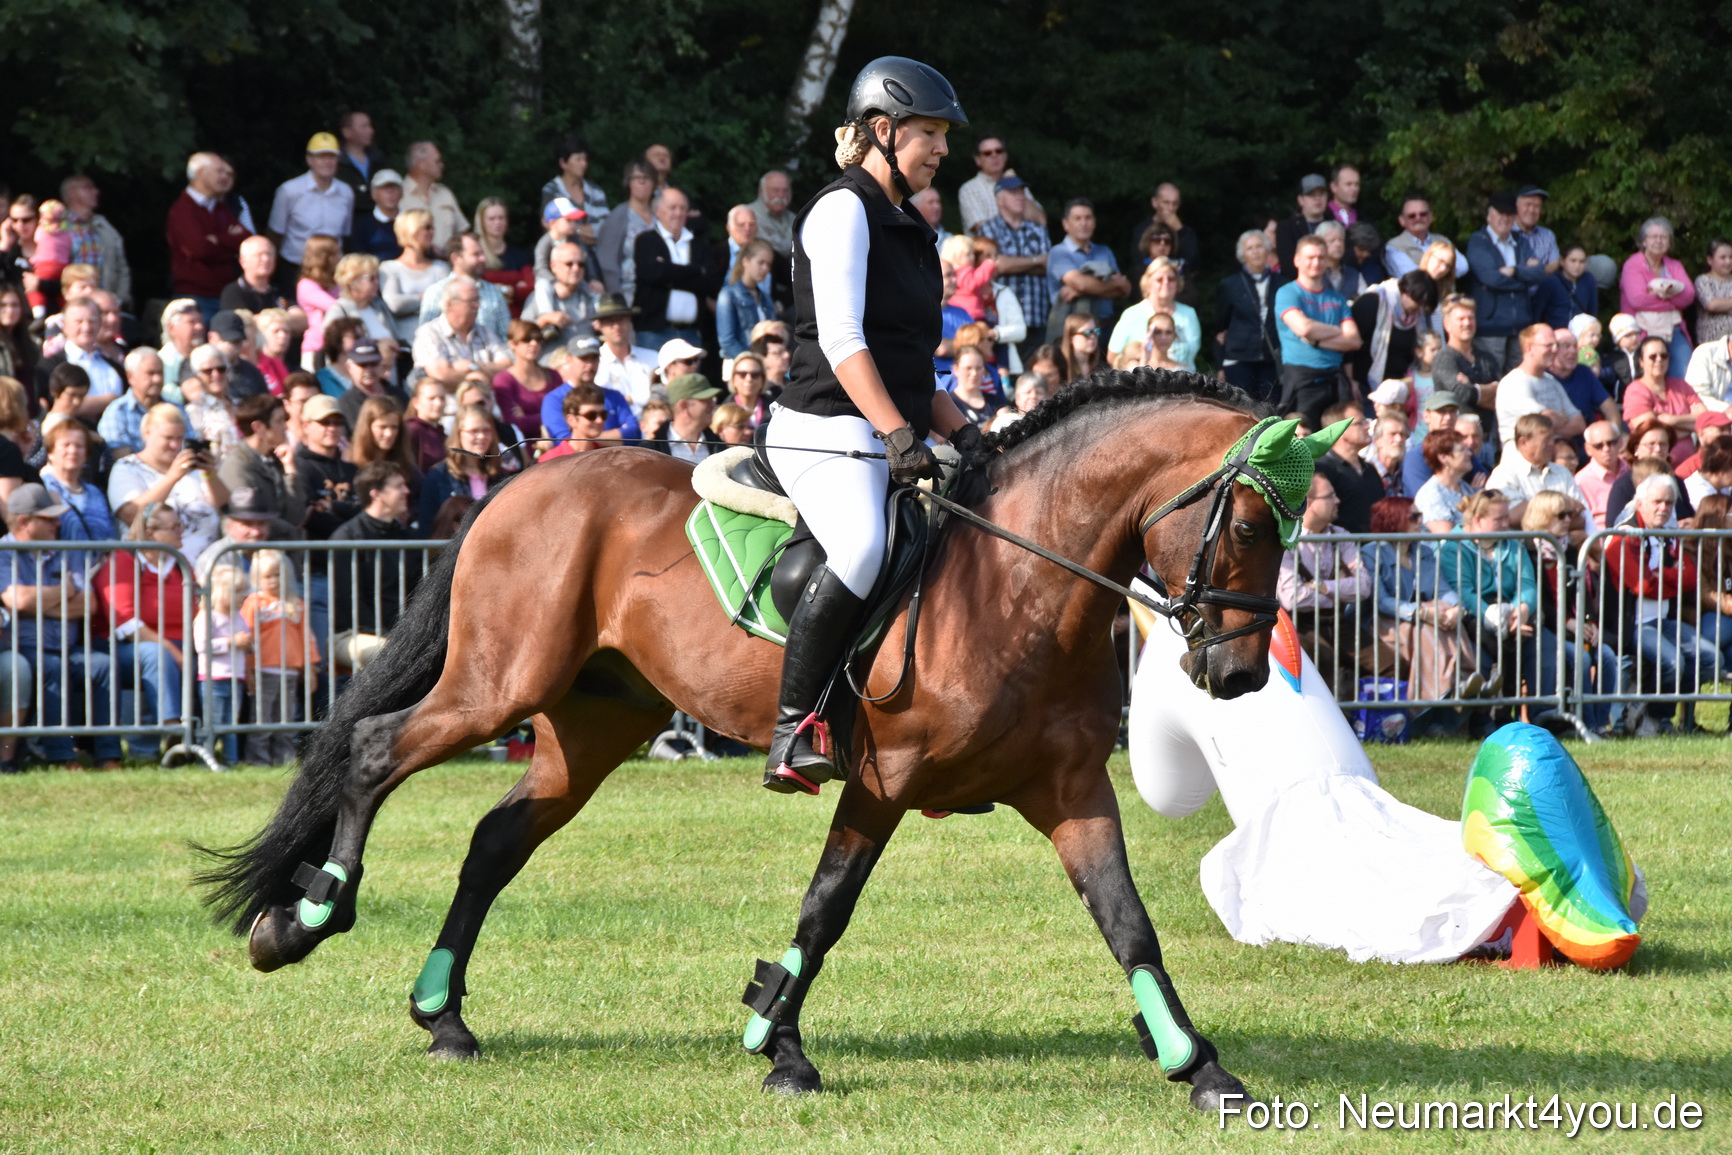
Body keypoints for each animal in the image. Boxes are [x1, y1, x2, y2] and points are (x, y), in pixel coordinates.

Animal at [197, 368, 1302, 1112]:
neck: (1020, 582)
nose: (1241, 675)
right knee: (376, 751)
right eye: (1249, 526)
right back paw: (303, 922)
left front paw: (1200, 1066)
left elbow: (1127, 922)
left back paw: (444, 1016)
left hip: (593, 724)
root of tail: (522, 484)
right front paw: (780, 1046)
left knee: (494, 841)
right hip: (495, 686)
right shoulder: (883, 782)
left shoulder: (1069, 788)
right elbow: (825, 908)